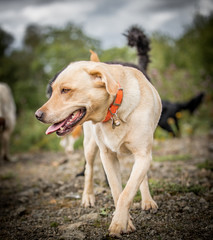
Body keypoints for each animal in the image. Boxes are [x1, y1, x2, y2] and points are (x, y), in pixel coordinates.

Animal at [35, 61, 161, 237]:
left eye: (66, 90)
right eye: (52, 91)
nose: (37, 115)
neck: (115, 110)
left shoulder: (143, 155)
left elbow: (127, 192)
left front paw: (119, 223)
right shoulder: (107, 156)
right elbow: (117, 192)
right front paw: (124, 222)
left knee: (142, 178)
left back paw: (147, 200)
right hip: (90, 145)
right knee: (89, 169)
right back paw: (88, 197)